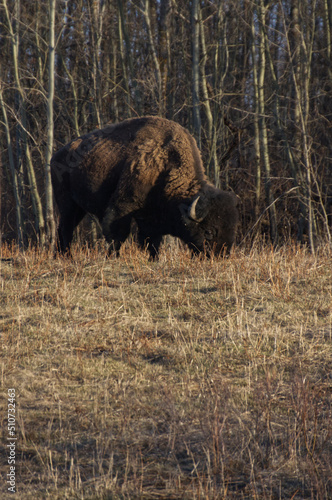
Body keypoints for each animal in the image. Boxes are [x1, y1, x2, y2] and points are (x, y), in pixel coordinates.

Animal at [51, 116, 239, 258]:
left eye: (231, 231)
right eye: (208, 232)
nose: (221, 256)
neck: (166, 165)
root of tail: (57, 155)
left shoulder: (151, 217)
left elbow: (152, 241)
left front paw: (153, 259)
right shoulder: (123, 205)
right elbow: (118, 233)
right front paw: (113, 257)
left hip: (78, 209)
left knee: (63, 229)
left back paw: (60, 257)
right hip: (67, 204)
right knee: (66, 229)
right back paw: (67, 257)